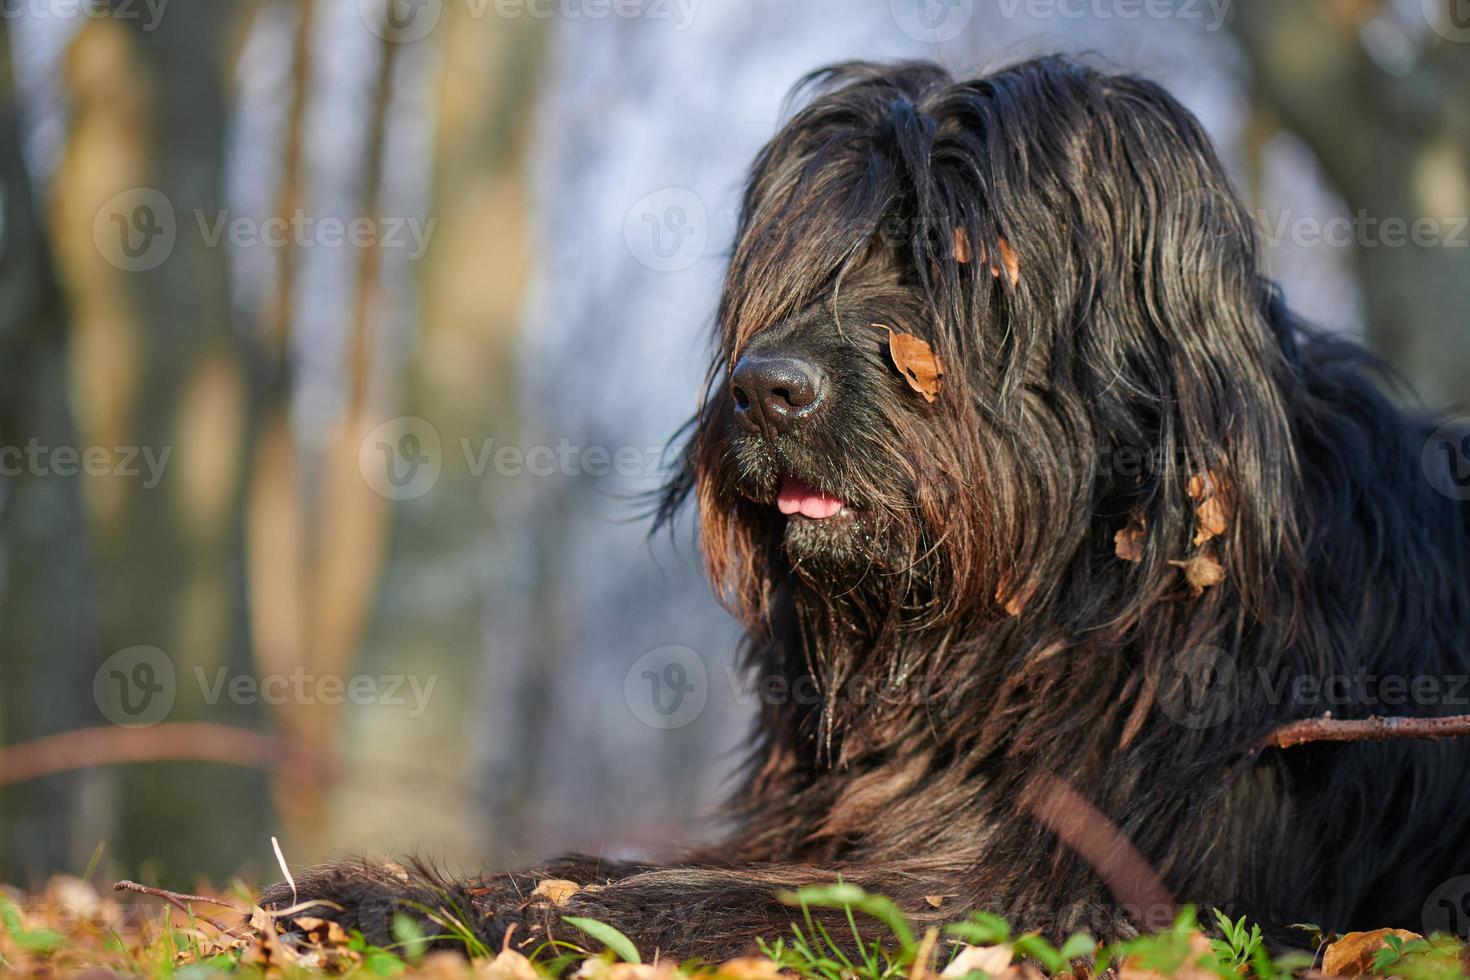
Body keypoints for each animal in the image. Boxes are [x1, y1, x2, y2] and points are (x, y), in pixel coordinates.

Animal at [264, 57, 1470, 963]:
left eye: (956, 264)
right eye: (802, 264)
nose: (764, 388)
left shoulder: (1105, 893)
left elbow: (741, 902)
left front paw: (467, 911)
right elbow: (641, 865)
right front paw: (412, 892)